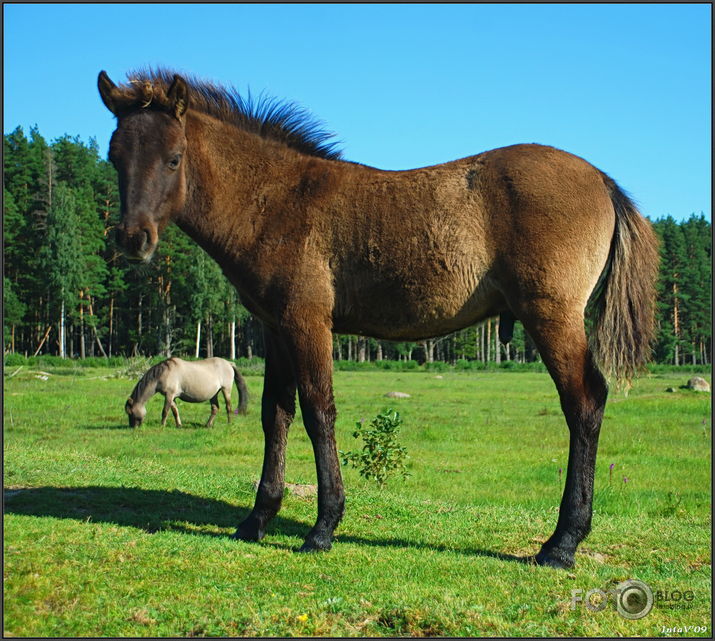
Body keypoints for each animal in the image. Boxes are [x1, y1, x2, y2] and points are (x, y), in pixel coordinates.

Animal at [100, 70, 660, 568]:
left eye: (174, 158)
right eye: (114, 157)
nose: (132, 238)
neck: (276, 201)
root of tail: (602, 180)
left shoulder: (308, 322)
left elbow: (318, 413)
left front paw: (323, 528)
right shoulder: (273, 328)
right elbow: (274, 415)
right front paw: (257, 520)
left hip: (552, 315)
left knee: (585, 401)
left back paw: (562, 543)